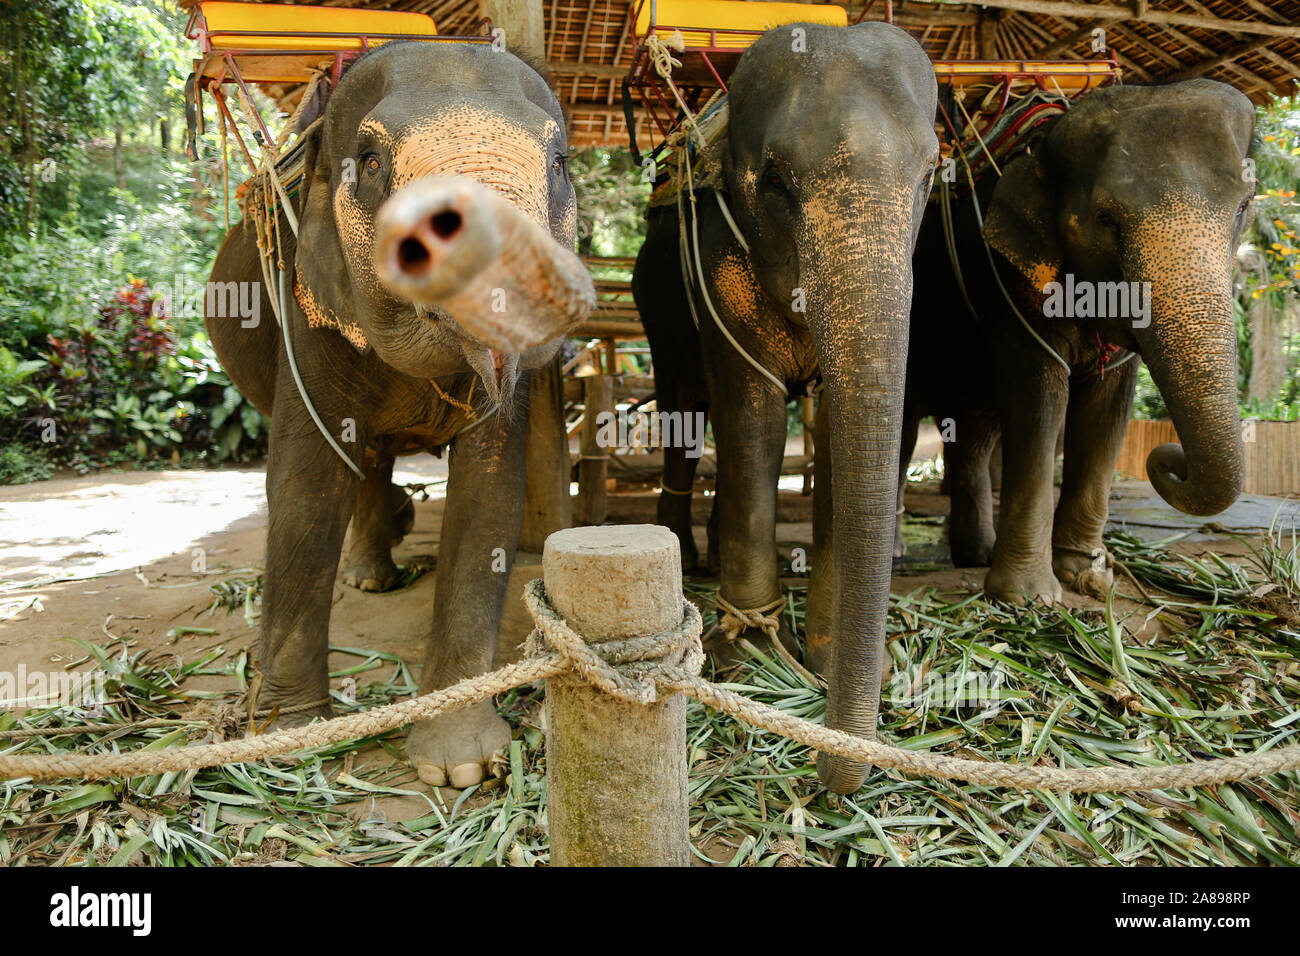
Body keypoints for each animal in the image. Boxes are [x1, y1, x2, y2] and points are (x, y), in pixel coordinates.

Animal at [208, 41, 595, 790]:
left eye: (561, 163)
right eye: (369, 160)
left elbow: (487, 491)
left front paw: (461, 766)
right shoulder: (307, 304)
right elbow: (304, 485)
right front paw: (292, 741)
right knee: (359, 459)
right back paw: (369, 576)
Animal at [629, 20, 935, 790]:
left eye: (930, 177)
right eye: (775, 182)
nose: (833, 773)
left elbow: (832, 433)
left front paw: (821, 657)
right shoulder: (716, 262)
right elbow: (754, 420)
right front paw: (750, 658)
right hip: (657, 312)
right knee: (687, 414)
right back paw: (689, 557)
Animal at [899, 82, 1253, 606]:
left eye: (1243, 207)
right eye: (1106, 219)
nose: (1167, 458)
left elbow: (1107, 411)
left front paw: (1088, 576)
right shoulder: (1009, 284)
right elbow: (1040, 399)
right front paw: (1029, 598)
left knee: (975, 435)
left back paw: (976, 555)